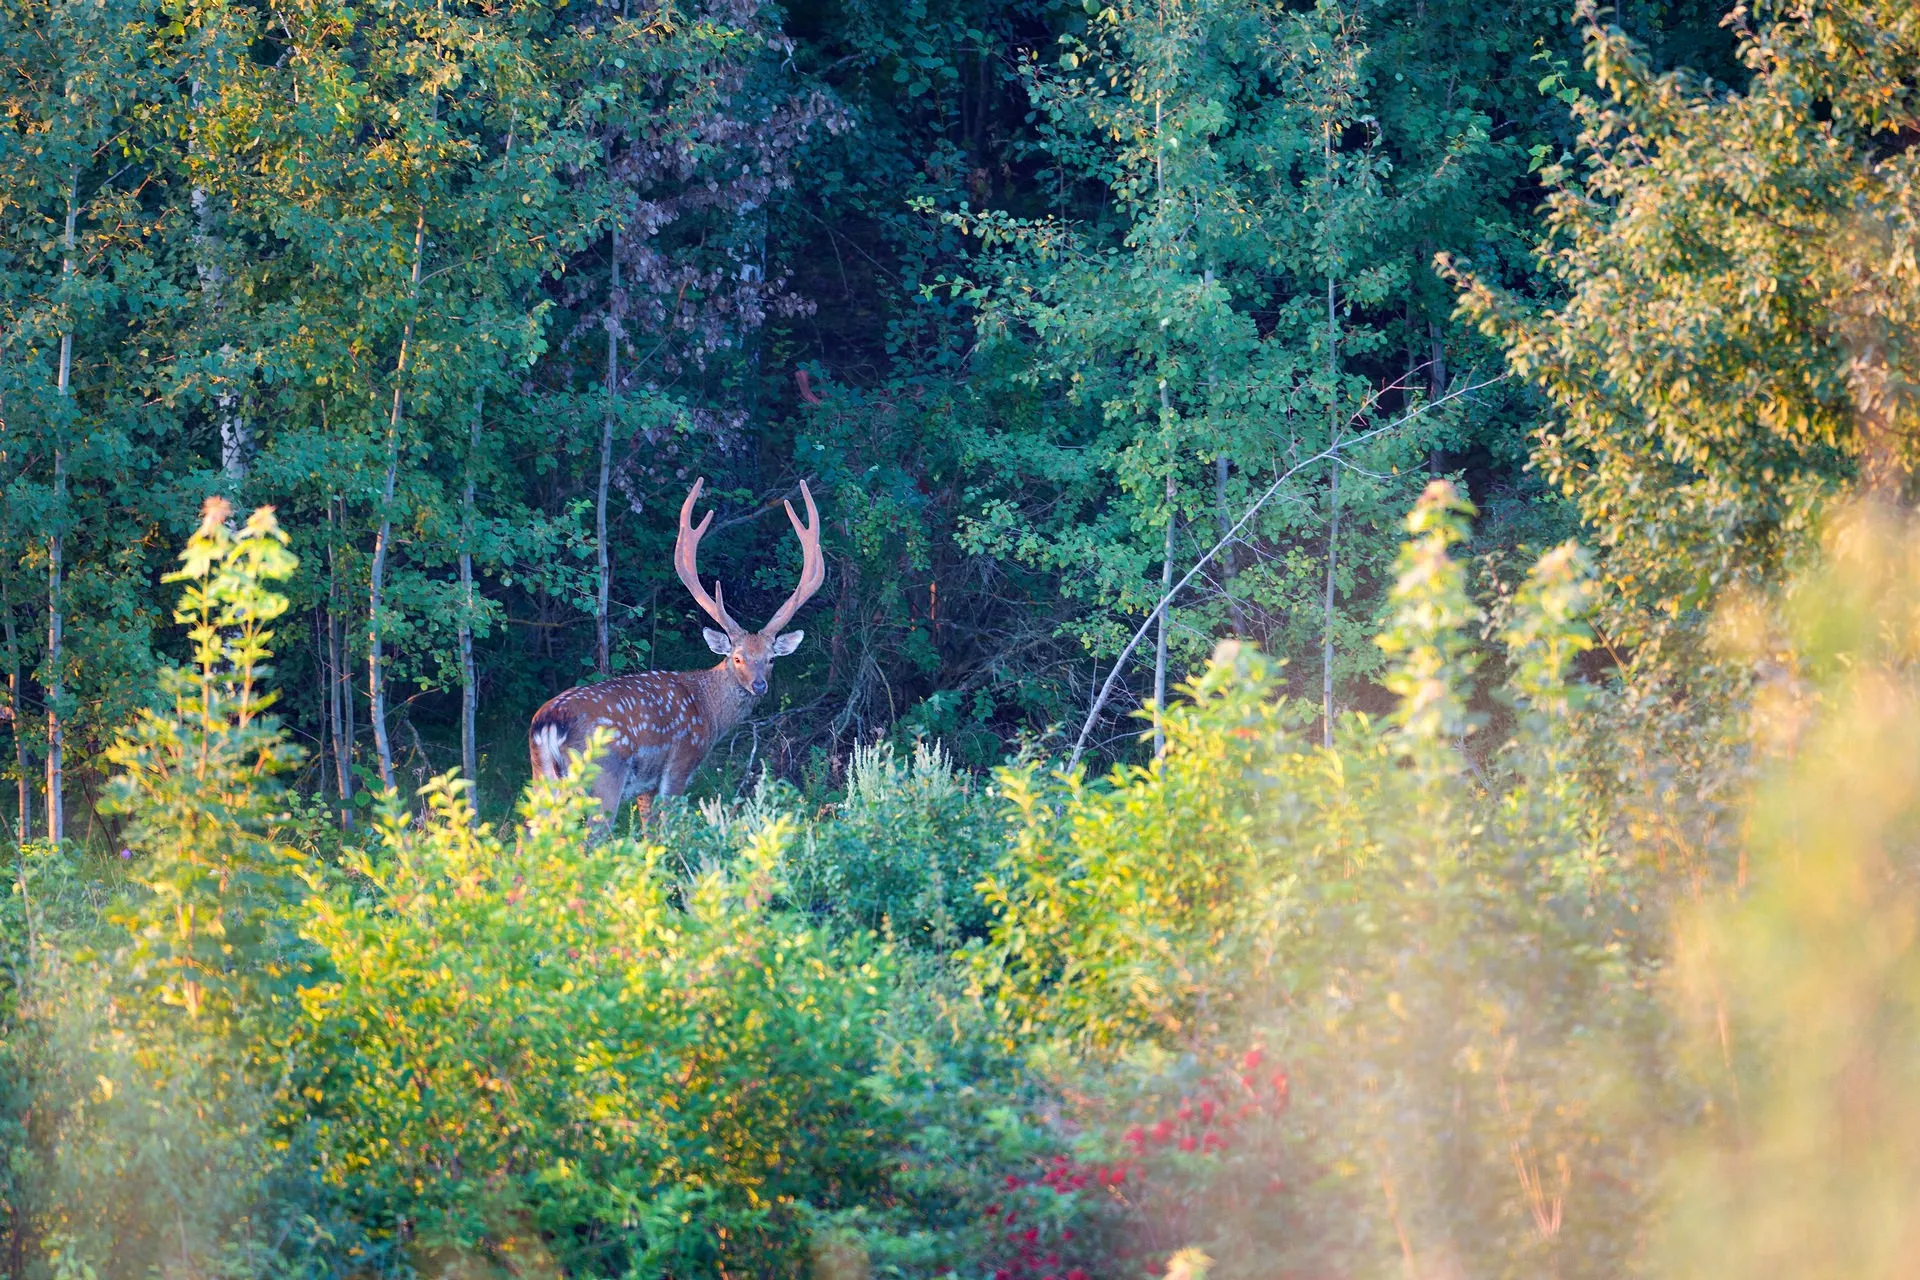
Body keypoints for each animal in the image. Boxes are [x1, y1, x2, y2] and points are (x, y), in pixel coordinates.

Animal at [526, 475, 825, 825]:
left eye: (771, 659)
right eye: (737, 657)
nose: (759, 685)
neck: (708, 711)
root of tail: (550, 723)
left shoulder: (645, 785)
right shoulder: (681, 761)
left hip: (541, 778)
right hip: (603, 776)